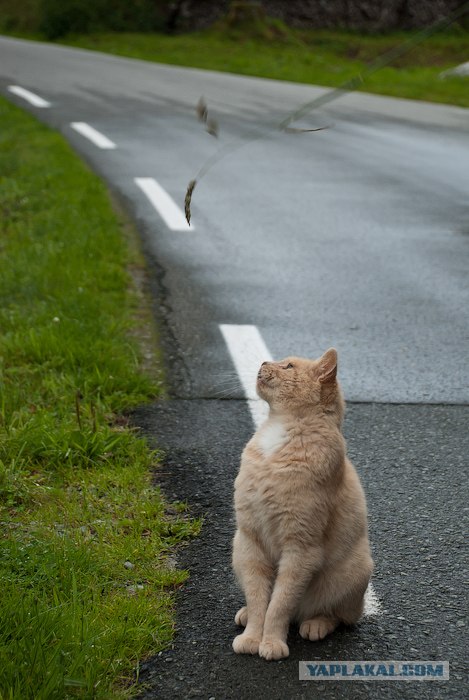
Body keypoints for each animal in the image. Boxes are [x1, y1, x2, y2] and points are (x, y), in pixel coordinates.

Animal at [231, 350, 372, 660]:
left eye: (288, 366)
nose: (263, 363)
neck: (278, 433)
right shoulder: (249, 540)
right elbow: (259, 598)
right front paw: (252, 637)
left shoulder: (301, 548)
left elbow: (279, 603)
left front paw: (271, 642)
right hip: (236, 551)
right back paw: (244, 613)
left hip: (354, 572)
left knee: (337, 616)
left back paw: (315, 625)